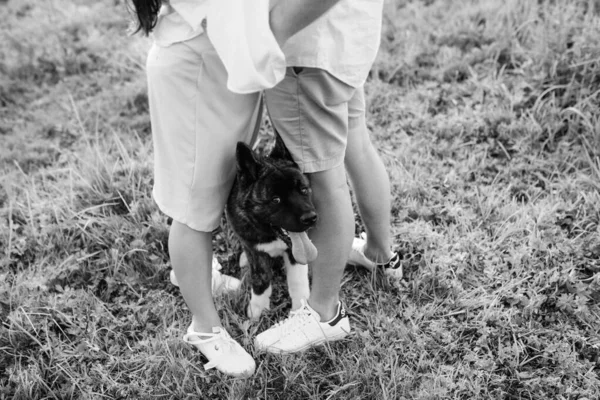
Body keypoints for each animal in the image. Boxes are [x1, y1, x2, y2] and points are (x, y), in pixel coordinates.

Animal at [226, 134, 318, 318]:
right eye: (276, 200)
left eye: (304, 190)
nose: (310, 218)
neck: (271, 235)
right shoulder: (255, 250)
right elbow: (260, 278)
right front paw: (258, 307)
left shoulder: (295, 253)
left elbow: (297, 278)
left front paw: (301, 308)